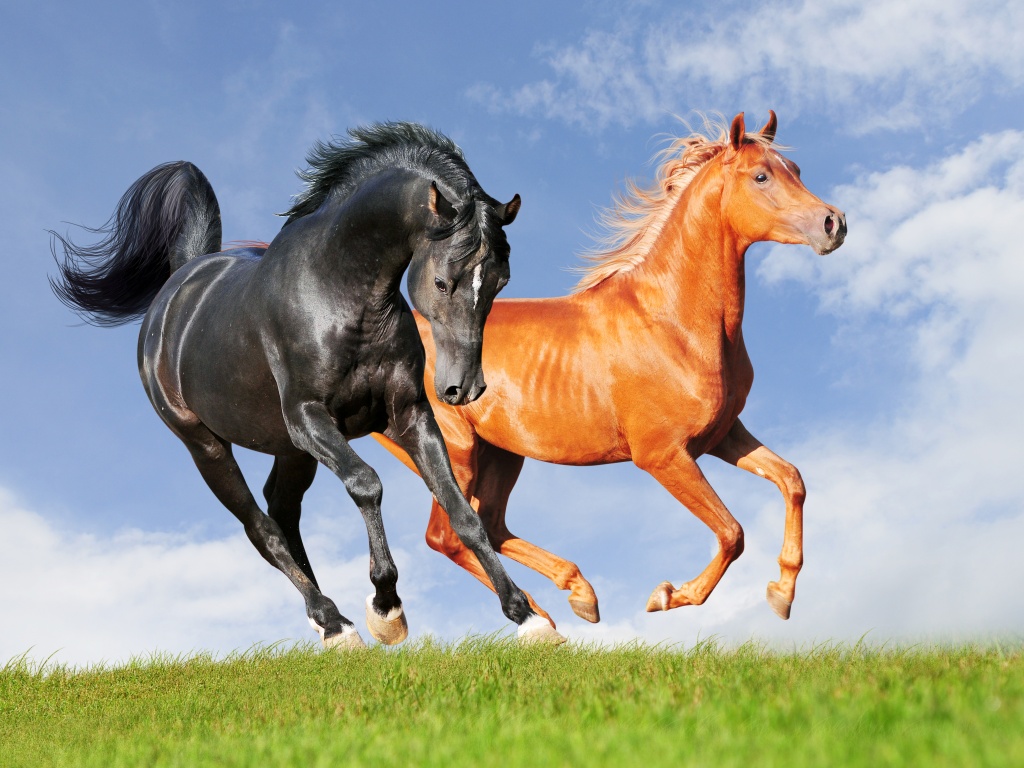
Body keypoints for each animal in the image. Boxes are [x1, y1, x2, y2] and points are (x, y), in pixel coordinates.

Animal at [51, 124, 565, 651]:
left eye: (501, 281)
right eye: (443, 282)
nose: (464, 388)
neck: (340, 295)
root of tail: (178, 287)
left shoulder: (408, 415)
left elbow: (463, 511)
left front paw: (528, 617)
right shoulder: (308, 417)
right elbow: (366, 484)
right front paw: (386, 609)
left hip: (289, 449)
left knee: (281, 511)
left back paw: (328, 622)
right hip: (206, 446)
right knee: (261, 527)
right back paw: (335, 622)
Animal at [372, 112, 843, 626]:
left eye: (795, 169)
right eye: (761, 176)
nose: (833, 223)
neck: (672, 322)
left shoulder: (721, 435)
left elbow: (791, 480)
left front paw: (782, 592)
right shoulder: (662, 456)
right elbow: (731, 532)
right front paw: (668, 595)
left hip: (501, 454)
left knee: (490, 524)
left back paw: (575, 597)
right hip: (453, 452)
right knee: (451, 535)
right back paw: (540, 617)